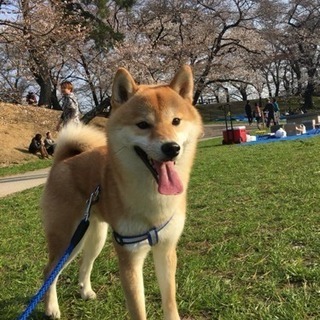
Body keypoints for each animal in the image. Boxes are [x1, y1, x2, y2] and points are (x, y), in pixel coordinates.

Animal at [41, 64, 202, 318]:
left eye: (176, 121)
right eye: (143, 124)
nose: (172, 148)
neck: (154, 200)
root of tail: (63, 160)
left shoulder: (166, 249)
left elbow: (170, 302)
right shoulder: (129, 255)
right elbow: (138, 309)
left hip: (94, 234)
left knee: (85, 263)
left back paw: (85, 291)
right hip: (67, 236)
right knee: (49, 271)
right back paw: (51, 308)